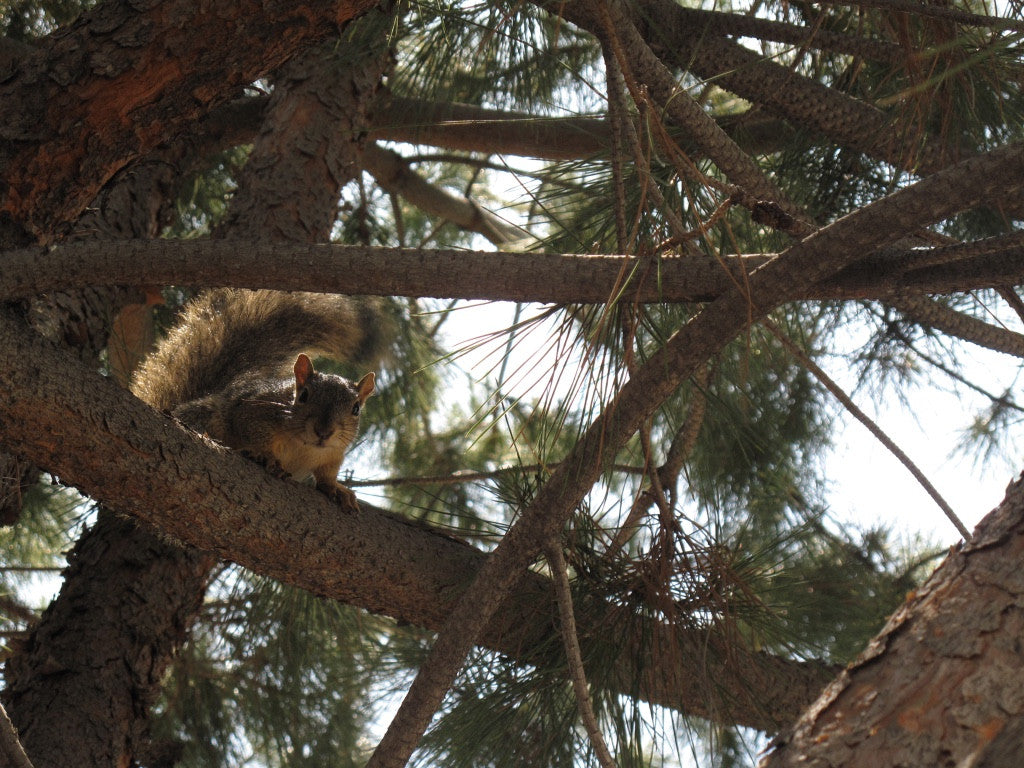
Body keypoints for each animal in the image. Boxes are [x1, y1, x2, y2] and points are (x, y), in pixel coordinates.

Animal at [130, 289, 388, 512]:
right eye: (304, 395)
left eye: (356, 408)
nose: (324, 432)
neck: (304, 446)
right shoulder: (253, 410)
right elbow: (252, 430)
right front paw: (266, 456)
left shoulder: (333, 455)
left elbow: (326, 473)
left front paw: (336, 488)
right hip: (205, 416)